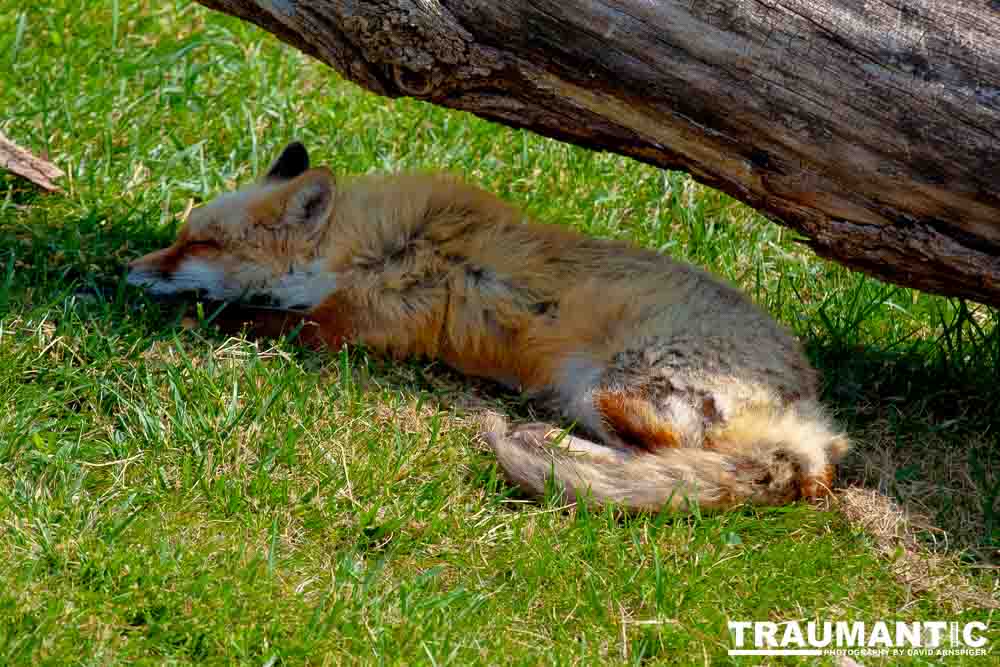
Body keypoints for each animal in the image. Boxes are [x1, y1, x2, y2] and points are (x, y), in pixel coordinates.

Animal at [123, 142, 844, 512]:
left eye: (200, 244)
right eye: (182, 234)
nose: (126, 270)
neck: (356, 248)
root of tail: (807, 418)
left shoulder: (358, 324)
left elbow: (256, 317)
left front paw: (190, 315)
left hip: (615, 387)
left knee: (668, 459)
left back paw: (544, 444)